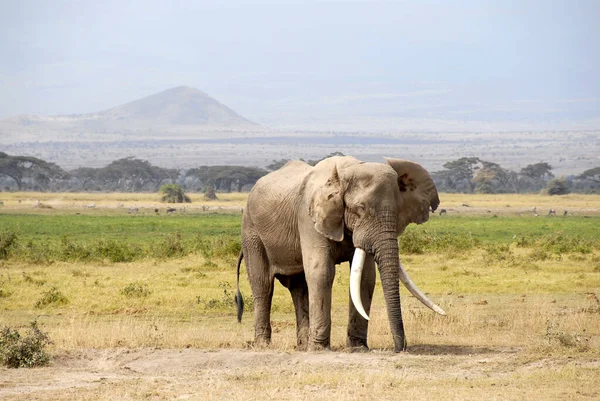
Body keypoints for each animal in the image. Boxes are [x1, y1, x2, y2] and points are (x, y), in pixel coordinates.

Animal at [234, 155, 446, 352]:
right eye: (360, 209)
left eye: (397, 210)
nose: (399, 348)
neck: (348, 171)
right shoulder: (308, 217)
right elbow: (321, 272)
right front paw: (320, 349)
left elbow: (365, 278)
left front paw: (358, 348)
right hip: (251, 233)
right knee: (263, 285)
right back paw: (264, 345)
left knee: (299, 288)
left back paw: (302, 346)